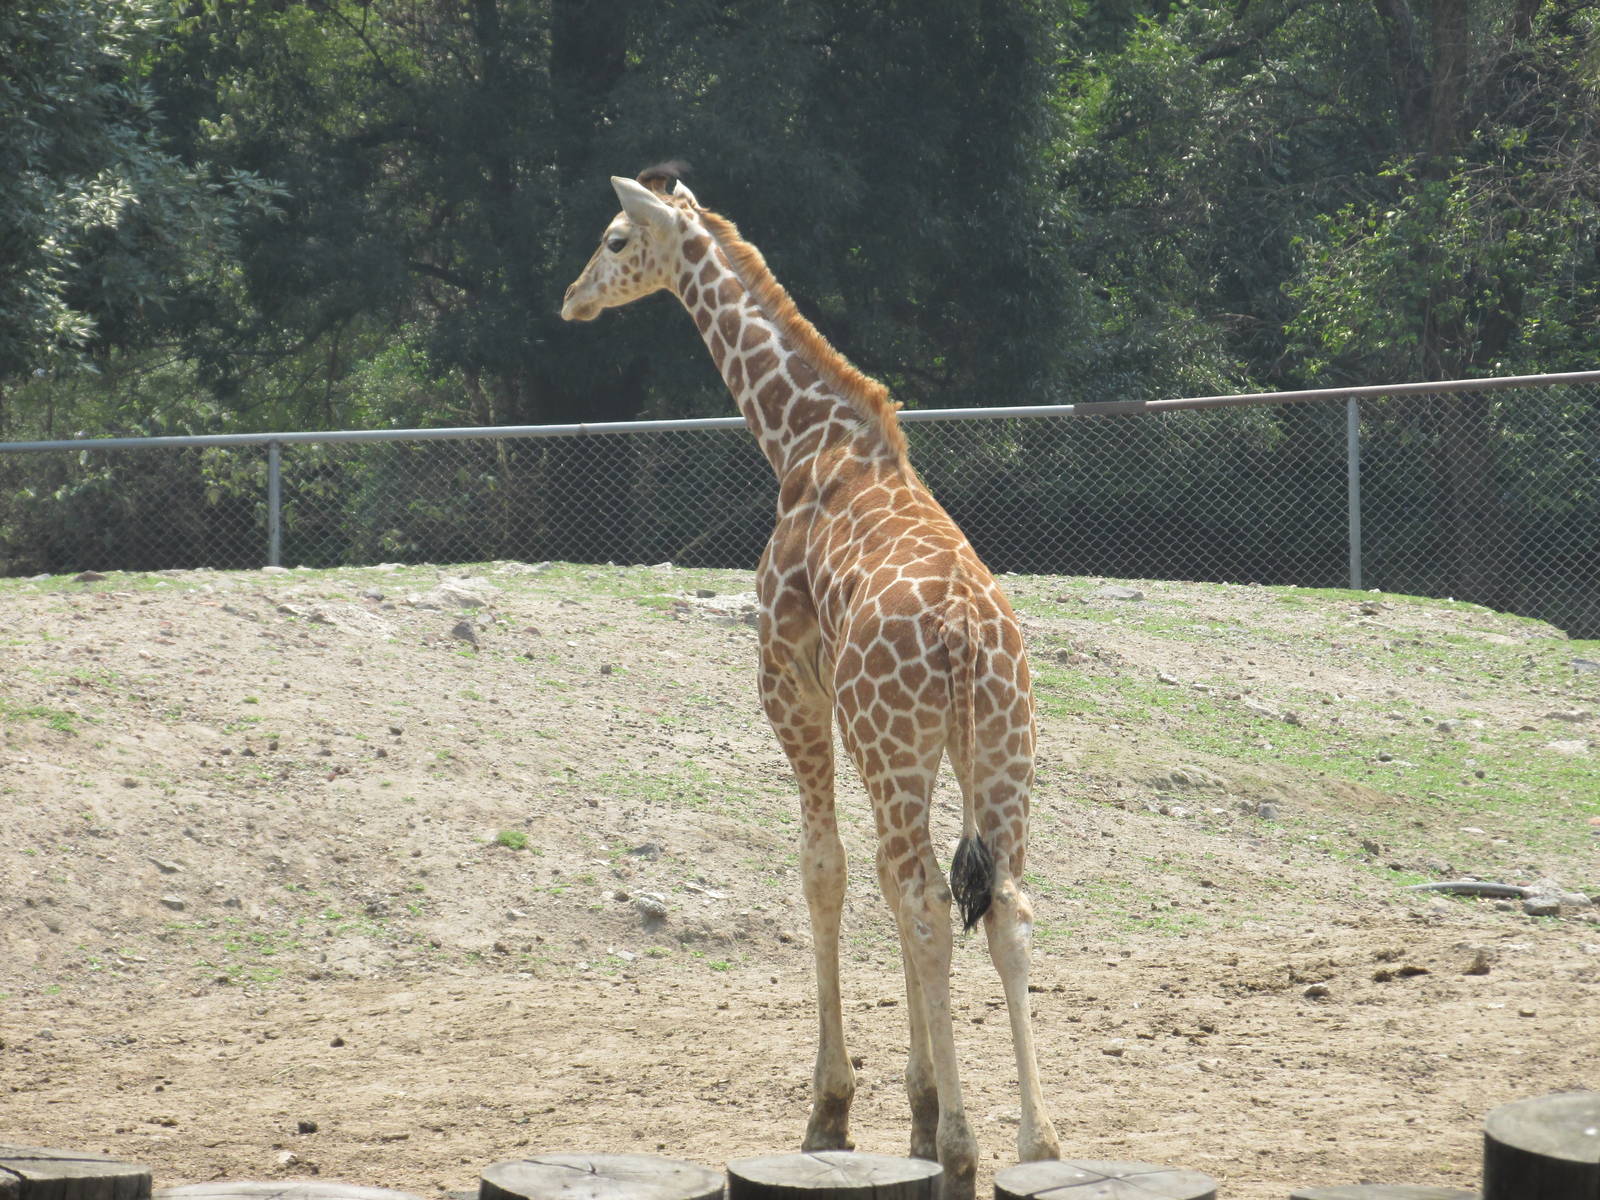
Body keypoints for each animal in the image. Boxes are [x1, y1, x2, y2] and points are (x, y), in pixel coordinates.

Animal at [561, 167, 1061, 1198]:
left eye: (617, 237)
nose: (573, 298)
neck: (803, 440)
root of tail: (968, 635)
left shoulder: (788, 681)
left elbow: (823, 871)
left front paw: (836, 1112)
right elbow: (876, 881)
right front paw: (913, 1111)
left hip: (897, 740)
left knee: (928, 905)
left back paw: (965, 1152)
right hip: (1002, 750)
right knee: (1004, 910)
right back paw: (1039, 1147)